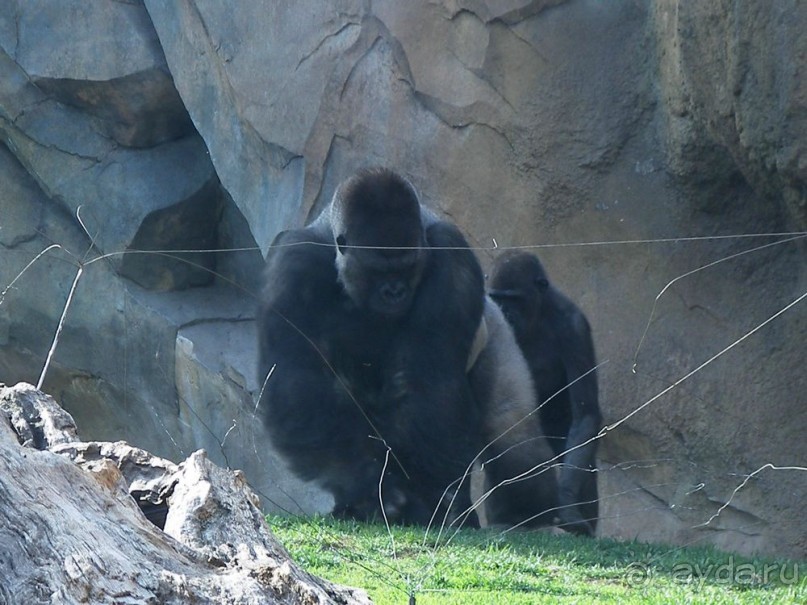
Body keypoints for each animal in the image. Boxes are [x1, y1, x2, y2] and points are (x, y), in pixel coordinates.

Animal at [260, 168, 560, 528]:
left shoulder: (448, 249)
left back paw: (523, 514)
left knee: (513, 433)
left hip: (497, 332)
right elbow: (297, 380)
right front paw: (371, 488)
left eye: (407, 266)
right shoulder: (294, 261)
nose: (395, 292)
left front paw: (423, 502)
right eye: (378, 269)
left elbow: (430, 381)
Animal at [490, 249, 604, 532]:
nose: (503, 310)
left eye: (514, 298)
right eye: (497, 297)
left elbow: (586, 414)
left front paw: (567, 505)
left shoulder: (574, 327)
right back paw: (505, 519)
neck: (538, 311)